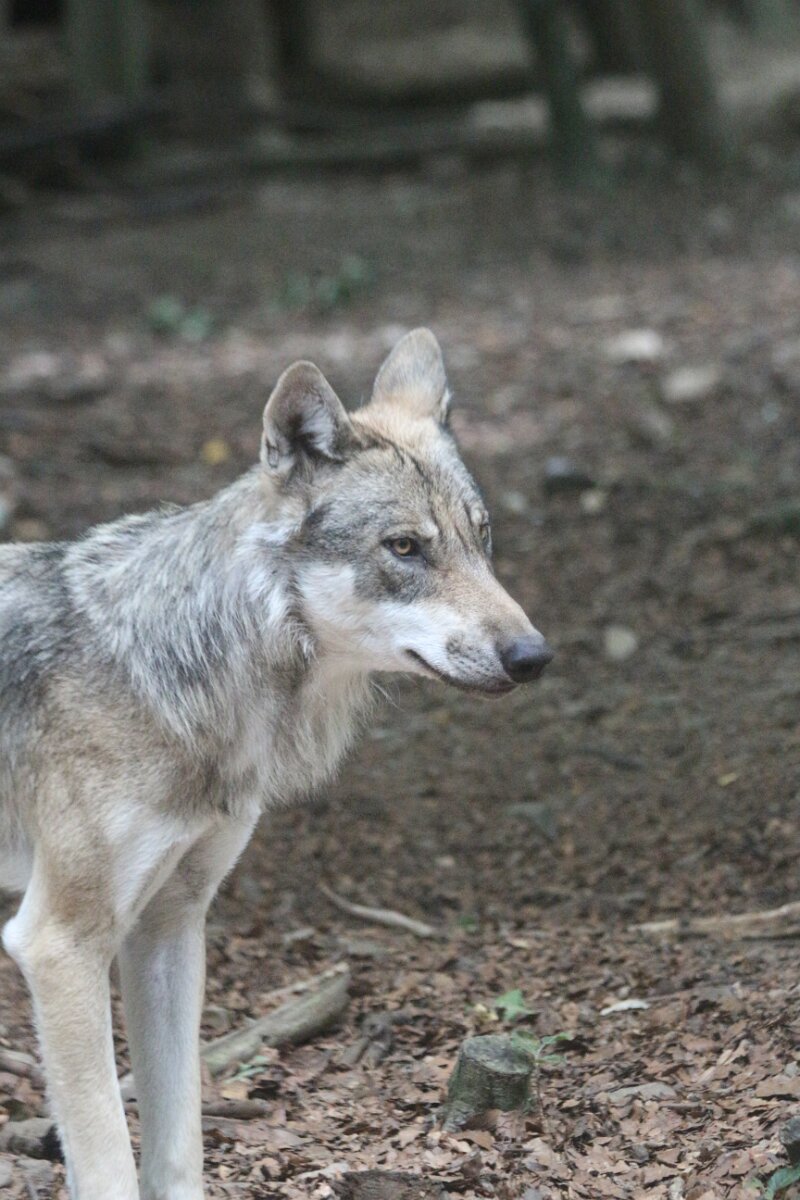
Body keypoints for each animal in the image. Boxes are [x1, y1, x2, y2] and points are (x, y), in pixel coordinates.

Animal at [0, 329, 552, 1199]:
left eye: (482, 537)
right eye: (404, 548)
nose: (534, 657)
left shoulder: (169, 926)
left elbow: (178, 1147)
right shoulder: (58, 945)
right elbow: (110, 1162)